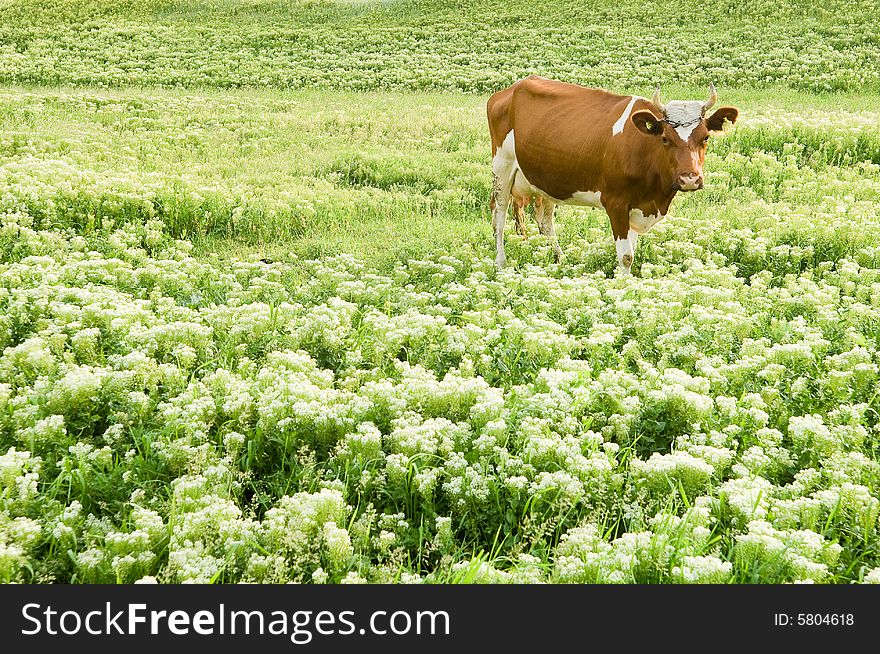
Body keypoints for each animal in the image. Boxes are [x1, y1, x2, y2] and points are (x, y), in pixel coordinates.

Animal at [484, 76, 740, 272]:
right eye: (665, 138)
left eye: (705, 137)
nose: (689, 179)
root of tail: (512, 88)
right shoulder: (616, 203)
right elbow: (626, 256)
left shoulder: (639, 206)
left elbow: (632, 250)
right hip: (502, 167)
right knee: (499, 216)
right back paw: (501, 264)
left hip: (545, 180)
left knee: (545, 221)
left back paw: (561, 260)